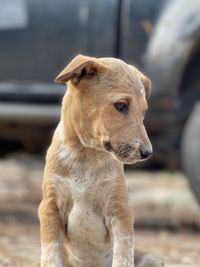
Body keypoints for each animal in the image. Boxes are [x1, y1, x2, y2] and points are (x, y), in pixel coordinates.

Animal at [38, 55, 164, 267]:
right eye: (121, 105)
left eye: (143, 112)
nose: (147, 153)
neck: (85, 156)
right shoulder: (50, 206)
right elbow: (50, 255)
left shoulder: (120, 211)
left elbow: (122, 256)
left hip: (152, 258)